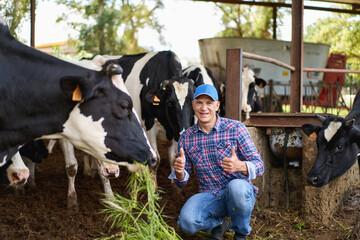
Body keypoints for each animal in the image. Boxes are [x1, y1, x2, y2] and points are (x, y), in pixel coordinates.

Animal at [100, 50, 195, 182]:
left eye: (193, 101)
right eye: (170, 102)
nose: (184, 131)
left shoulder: (176, 130)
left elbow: (174, 157)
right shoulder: (150, 126)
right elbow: (156, 160)